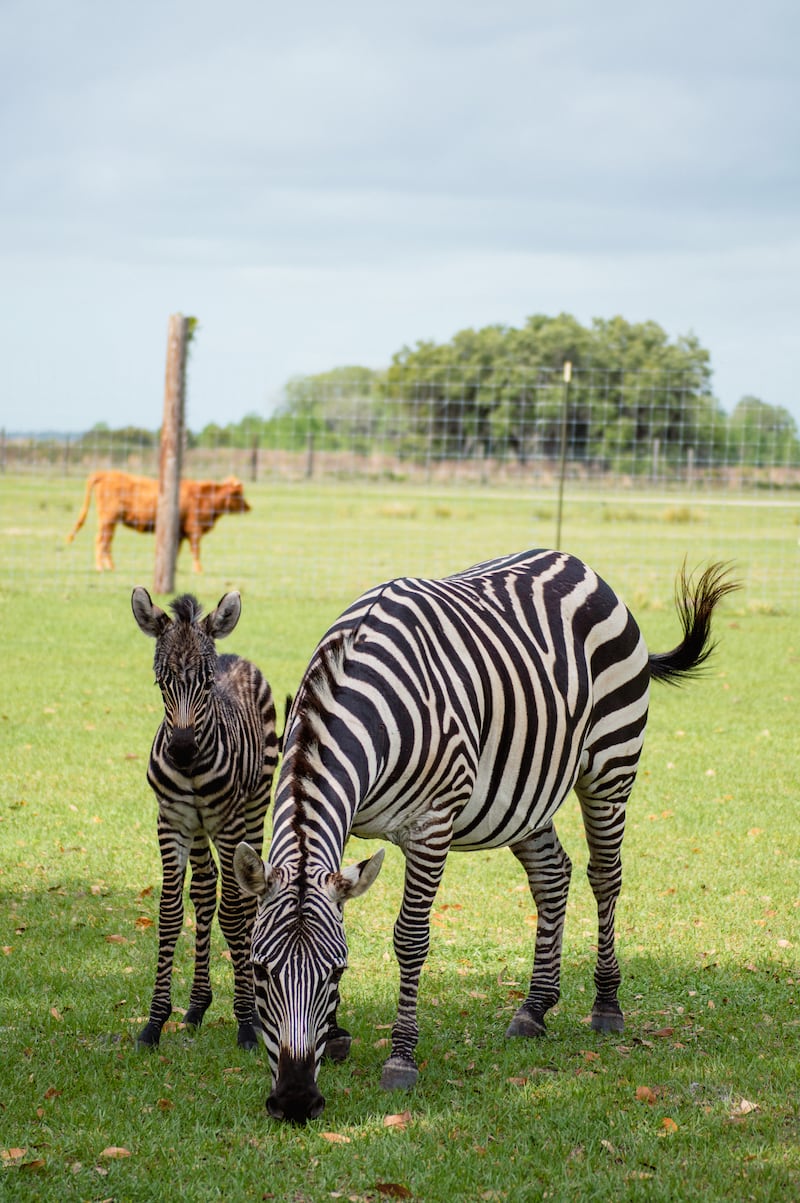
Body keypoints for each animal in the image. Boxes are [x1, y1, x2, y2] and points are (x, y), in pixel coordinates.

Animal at [65, 469, 250, 572]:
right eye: (238, 494)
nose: (249, 507)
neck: (204, 497)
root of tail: (105, 473)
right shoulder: (194, 531)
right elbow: (196, 551)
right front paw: (199, 570)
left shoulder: (179, 534)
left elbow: (176, 552)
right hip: (108, 520)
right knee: (101, 540)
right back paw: (100, 567)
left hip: (110, 522)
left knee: (107, 542)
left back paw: (110, 566)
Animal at [132, 587, 279, 1049]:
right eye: (161, 682)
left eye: (207, 683)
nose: (181, 750)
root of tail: (232, 653)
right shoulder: (171, 823)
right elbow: (170, 913)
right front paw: (155, 1022)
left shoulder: (229, 825)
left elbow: (233, 912)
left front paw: (247, 1021)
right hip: (198, 831)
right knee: (204, 889)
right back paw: (197, 1005)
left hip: (254, 807)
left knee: (245, 898)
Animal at [232, 550, 736, 1121]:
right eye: (260, 972)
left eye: (335, 975)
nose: (295, 1102)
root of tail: (577, 563)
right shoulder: (347, 819)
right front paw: (337, 1036)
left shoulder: (431, 826)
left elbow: (410, 938)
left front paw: (401, 1059)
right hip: (526, 793)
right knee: (552, 875)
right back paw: (535, 1008)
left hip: (611, 765)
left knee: (605, 876)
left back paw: (606, 1005)